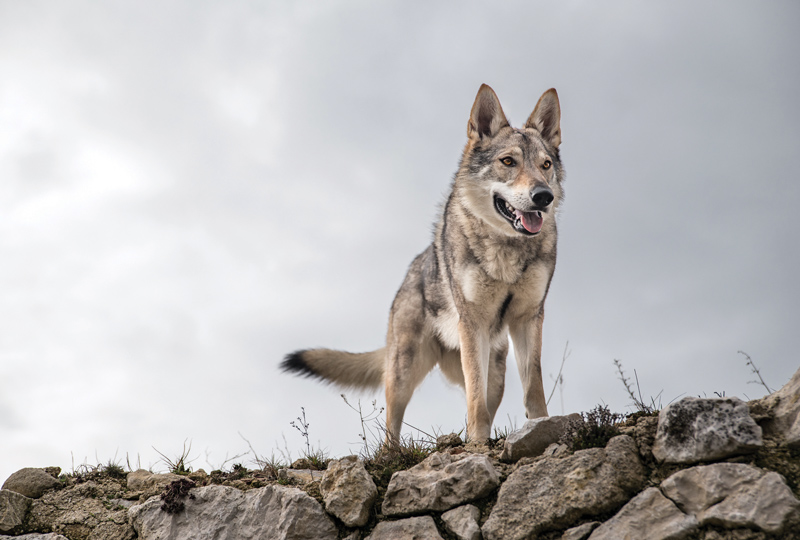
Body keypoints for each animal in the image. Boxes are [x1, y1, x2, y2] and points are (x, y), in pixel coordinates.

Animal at [282, 84, 564, 442]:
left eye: (545, 165)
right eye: (508, 161)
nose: (543, 197)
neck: (507, 252)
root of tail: (409, 273)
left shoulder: (529, 318)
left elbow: (534, 388)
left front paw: (543, 428)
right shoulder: (473, 323)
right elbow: (476, 401)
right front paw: (478, 444)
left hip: (496, 373)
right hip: (404, 372)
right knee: (392, 429)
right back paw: (397, 451)